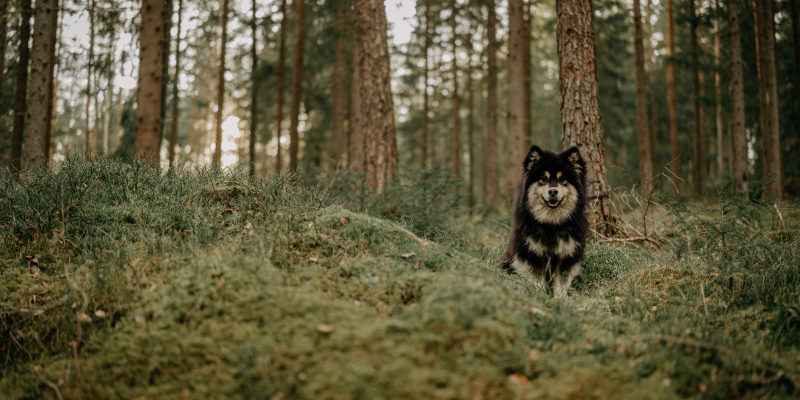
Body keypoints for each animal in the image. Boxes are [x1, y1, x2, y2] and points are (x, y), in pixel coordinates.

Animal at [504, 145, 592, 298]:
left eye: (562, 179)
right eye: (544, 179)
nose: (552, 191)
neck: (551, 224)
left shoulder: (565, 256)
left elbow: (561, 283)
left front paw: (560, 299)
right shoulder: (532, 255)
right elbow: (537, 280)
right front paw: (539, 296)